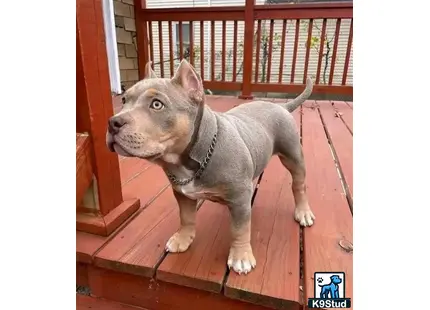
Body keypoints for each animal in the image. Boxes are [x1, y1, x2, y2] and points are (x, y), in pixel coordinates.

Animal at [106, 59, 316, 274]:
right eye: (124, 100)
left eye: (157, 104)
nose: (113, 122)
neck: (193, 157)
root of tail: (282, 106)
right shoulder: (181, 194)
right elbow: (186, 217)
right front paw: (182, 239)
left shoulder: (239, 199)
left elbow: (240, 229)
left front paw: (241, 256)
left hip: (293, 157)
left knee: (299, 185)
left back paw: (303, 212)